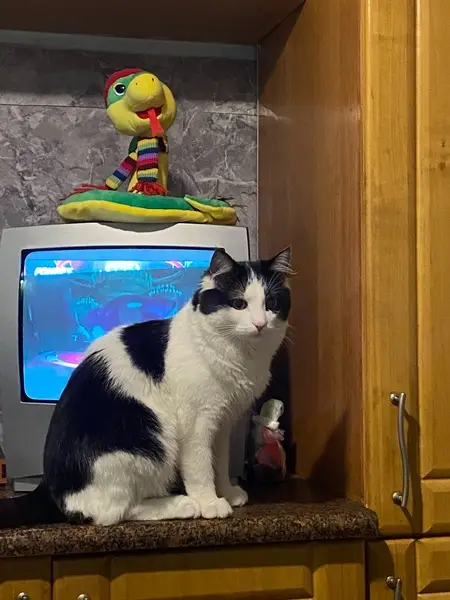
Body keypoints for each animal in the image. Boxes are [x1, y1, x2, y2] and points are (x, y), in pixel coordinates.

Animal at [0, 247, 292, 527]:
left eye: (271, 304)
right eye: (239, 303)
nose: (260, 324)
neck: (239, 354)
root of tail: (47, 485)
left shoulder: (221, 425)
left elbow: (219, 464)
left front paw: (227, 493)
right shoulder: (196, 424)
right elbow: (200, 468)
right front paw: (209, 502)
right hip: (147, 444)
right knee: (112, 513)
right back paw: (182, 504)